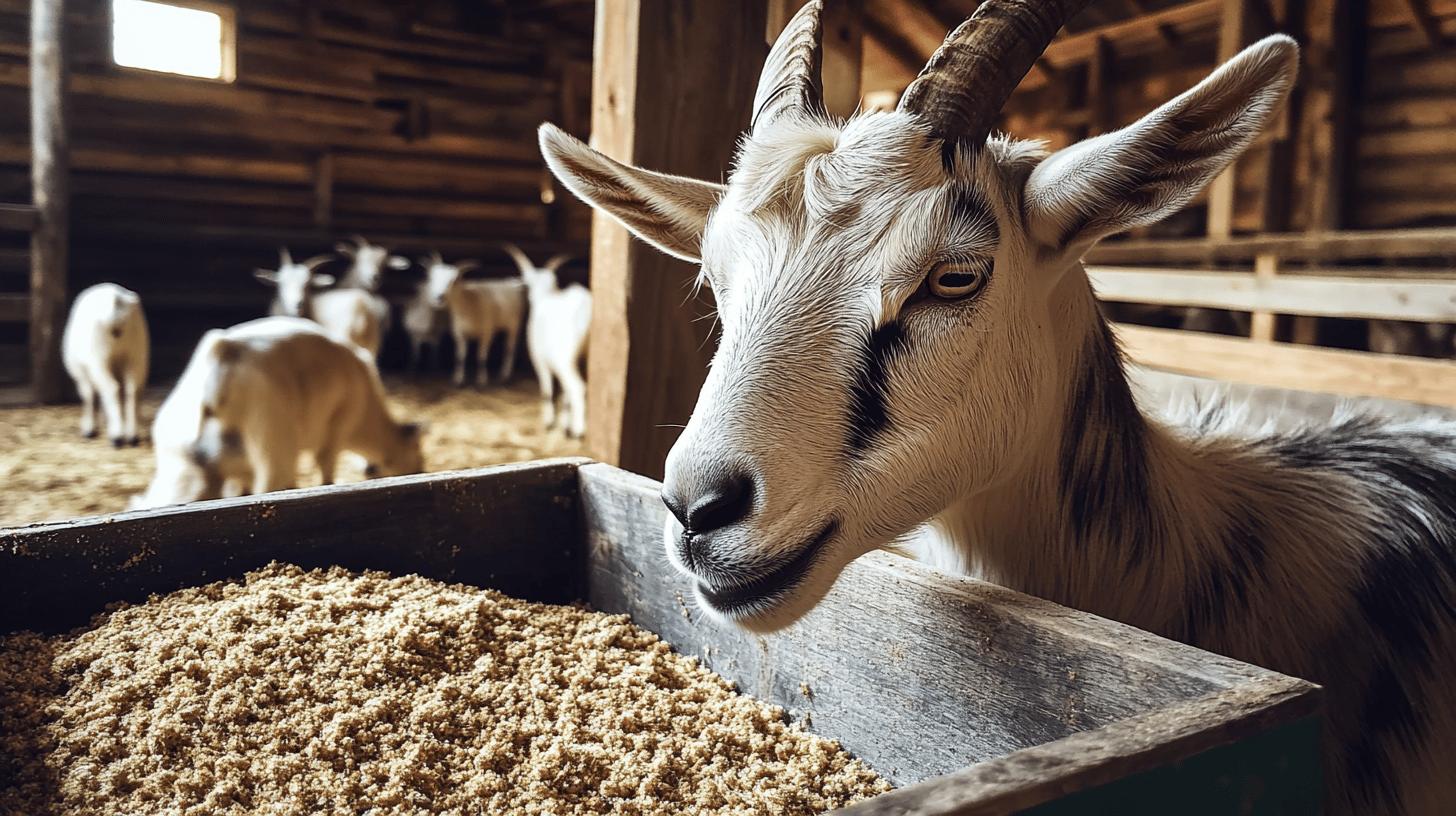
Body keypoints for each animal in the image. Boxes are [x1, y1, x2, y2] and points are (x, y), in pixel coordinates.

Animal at [61, 283, 149, 446]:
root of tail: (115, 298)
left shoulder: (82, 372)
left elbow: (88, 396)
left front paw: (89, 429)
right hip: (137, 356)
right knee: (132, 390)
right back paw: (132, 435)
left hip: (100, 358)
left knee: (111, 388)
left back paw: (116, 436)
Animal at [192, 316, 424, 494]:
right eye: (417, 454)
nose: (421, 469)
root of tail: (227, 347)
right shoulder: (336, 431)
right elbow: (326, 473)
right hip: (272, 441)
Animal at [421, 251, 527, 388]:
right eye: (432, 278)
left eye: (454, 281)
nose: (439, 297)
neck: (470, 302)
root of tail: (511, 282)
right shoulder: (459, 334)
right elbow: (460, 357)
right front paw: (458, 380)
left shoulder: (486, 334)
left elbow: (481, 357)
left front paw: (481, 380)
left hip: (514, 325)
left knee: (509, 349)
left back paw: (505, 375)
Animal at [503, 243, 591, 437]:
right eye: (529, 284)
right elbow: (564, 395)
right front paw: (564, 423)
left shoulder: (539, 359)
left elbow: (547, 391)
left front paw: (549, 422)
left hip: (565, 358)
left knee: (578, 387)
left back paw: (578, 430)